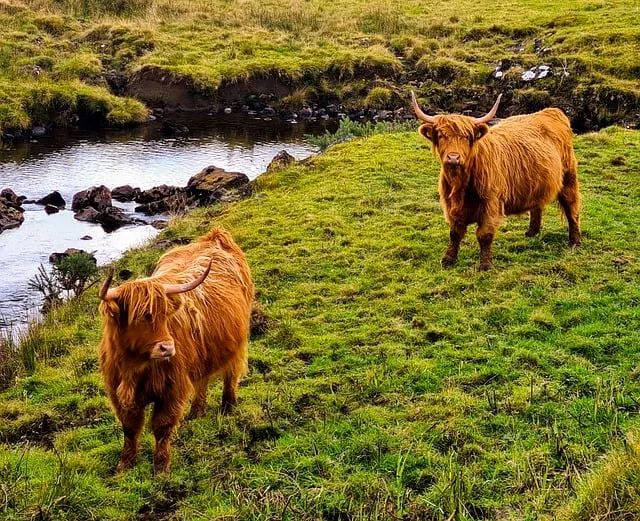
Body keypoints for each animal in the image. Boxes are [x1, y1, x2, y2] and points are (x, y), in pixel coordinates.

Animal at [98, 227, 254, 473]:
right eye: (137, 317)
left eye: (164, 316)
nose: (167, 348)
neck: (135, 366)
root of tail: (215, 236)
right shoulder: (116, 392)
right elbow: (130, 428)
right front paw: (125, 463)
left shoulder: (172, 389)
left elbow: (162, 426)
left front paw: (161, 466)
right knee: (202, 380)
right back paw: (196, 412)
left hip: (238, 341)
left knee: (231, 373)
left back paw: (228, 406)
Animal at [411, 92, 582, 270]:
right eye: (442, 136)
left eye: (466, 137)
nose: (453, 157)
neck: (461, 184)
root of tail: (550, 111)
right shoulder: (452, 206)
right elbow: (455, 233)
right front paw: (448, 260)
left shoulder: (491, 203)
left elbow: (484, 235)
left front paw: (485, 265)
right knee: (537, 205)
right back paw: (532, 232)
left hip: (569, 176)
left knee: (571, 206)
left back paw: (575, 241)